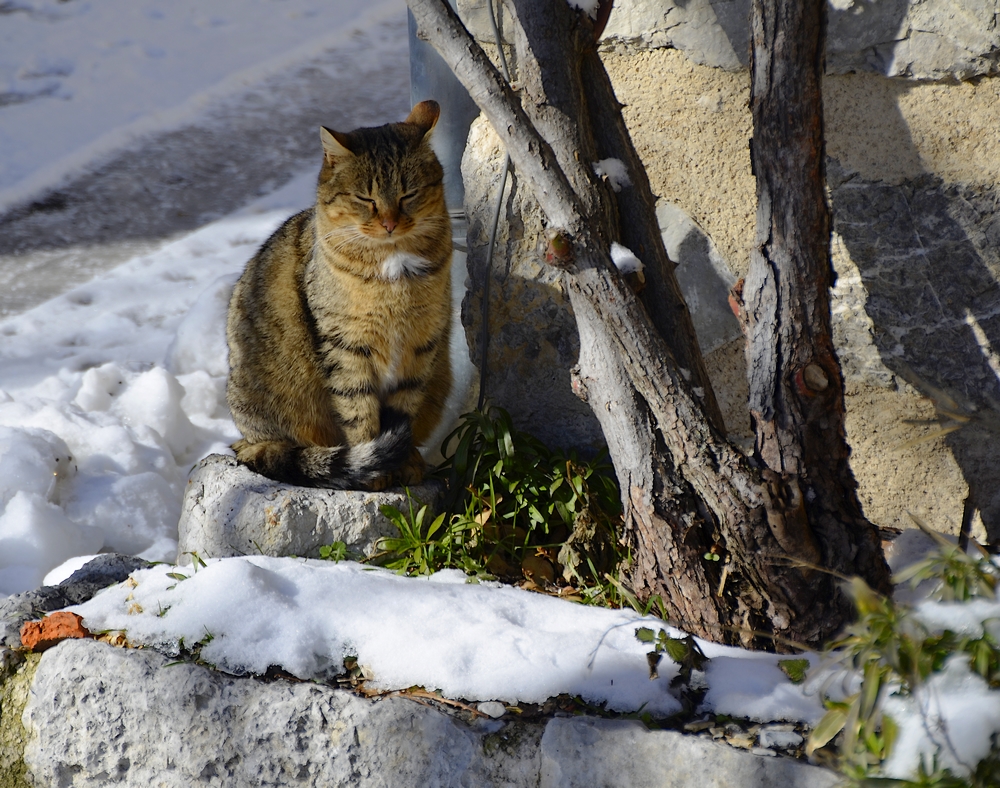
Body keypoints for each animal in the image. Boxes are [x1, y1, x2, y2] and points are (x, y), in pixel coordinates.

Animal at [227, 101, 454, 490]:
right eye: (366, 198)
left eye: (408, 194)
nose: (390, 223)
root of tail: (245, 441)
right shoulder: (345, 344)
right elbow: (358, 411)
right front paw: (374, 469)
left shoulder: (421, 344)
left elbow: (404, 408)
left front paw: (403, 462)